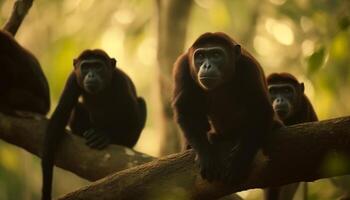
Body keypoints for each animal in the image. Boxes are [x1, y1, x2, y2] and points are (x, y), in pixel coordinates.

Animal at [41, 49, 147, 200]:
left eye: (98, 66)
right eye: (85, 67)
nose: (91, 75)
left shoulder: (120, 82)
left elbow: (131, 119)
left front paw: (105, 136)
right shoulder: (73, 79)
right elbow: (59, 116)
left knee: (141, 103)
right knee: (78, 107)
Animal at [172, 32, 278, 184]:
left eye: (216, 55)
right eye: (200, 56)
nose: (207, 66)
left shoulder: (249, 67)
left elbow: (260, 109)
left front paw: (240, 158)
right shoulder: (183, 67)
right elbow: (187, 111)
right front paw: (205, 155)